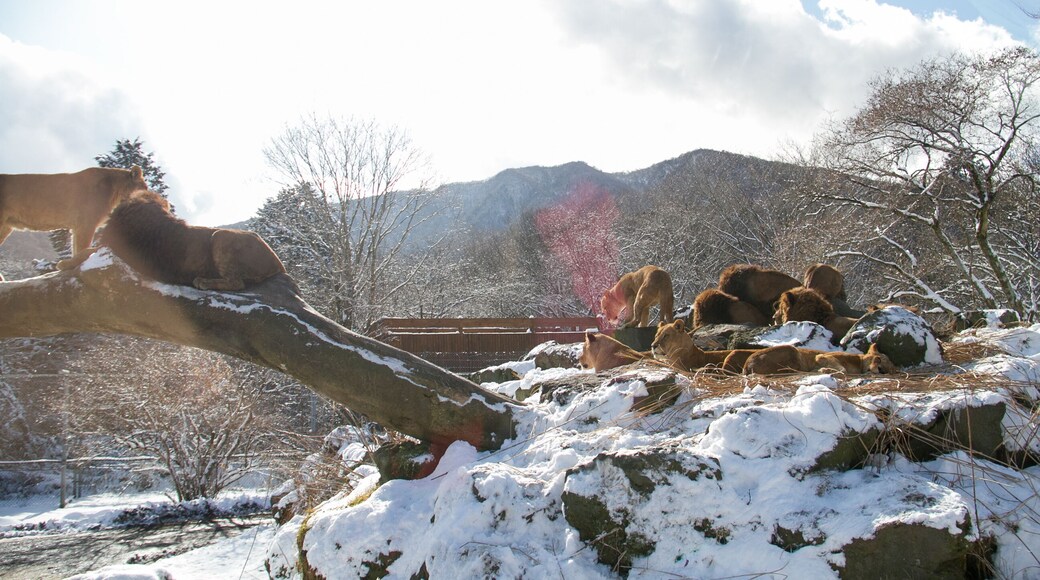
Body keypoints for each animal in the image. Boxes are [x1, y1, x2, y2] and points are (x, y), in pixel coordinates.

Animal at [0, 166, 148, 268]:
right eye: (145, 187)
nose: (149, 195)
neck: (115, 193)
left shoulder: (78, 226)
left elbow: (76, 247)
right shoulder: (87, 224)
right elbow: (82, 247)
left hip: (5, 227)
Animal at [59, 190, 287, 291]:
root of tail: (278, 262)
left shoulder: (119, 247)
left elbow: (86, 252)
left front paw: (63, 263)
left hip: (221, 237)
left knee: (237, 283)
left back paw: (202, 281)